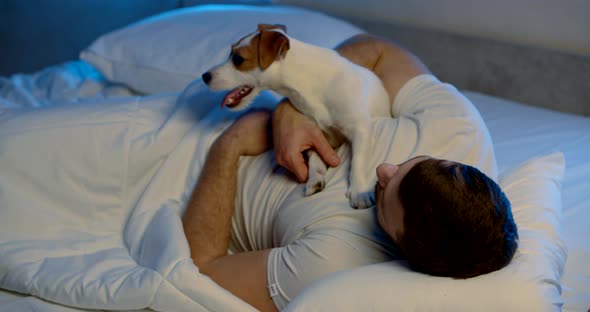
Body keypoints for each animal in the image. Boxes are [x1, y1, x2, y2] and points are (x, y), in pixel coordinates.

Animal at [204, 25, 394, 210]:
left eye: (238, 59)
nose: (204, 76)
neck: (307, 84)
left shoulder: (360, 128)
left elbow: (357, 161)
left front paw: (358, 191)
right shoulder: (317, 136)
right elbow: (315, 160)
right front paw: (315, 178)